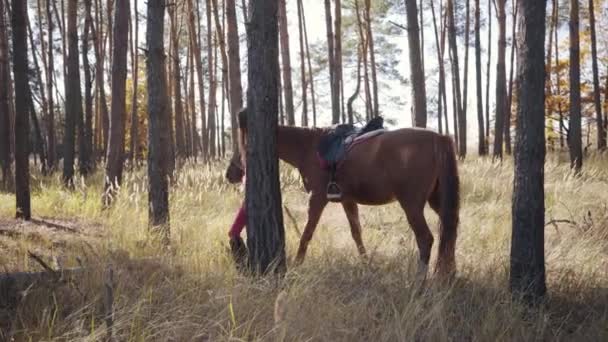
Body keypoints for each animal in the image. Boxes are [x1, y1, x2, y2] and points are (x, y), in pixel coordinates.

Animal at [226, 124, 458, 280]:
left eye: (241, 145)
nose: (230, 175)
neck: (308, 146)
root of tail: (438, 137)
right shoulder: (347, 200)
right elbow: (357, 234)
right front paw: (367, 265)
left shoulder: (317, 198)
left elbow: (306, 234)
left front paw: (297, 265)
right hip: (437, 201)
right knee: (450, 232)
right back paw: (448, 275)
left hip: (411, 205)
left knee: (426, 239)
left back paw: (419, 283)